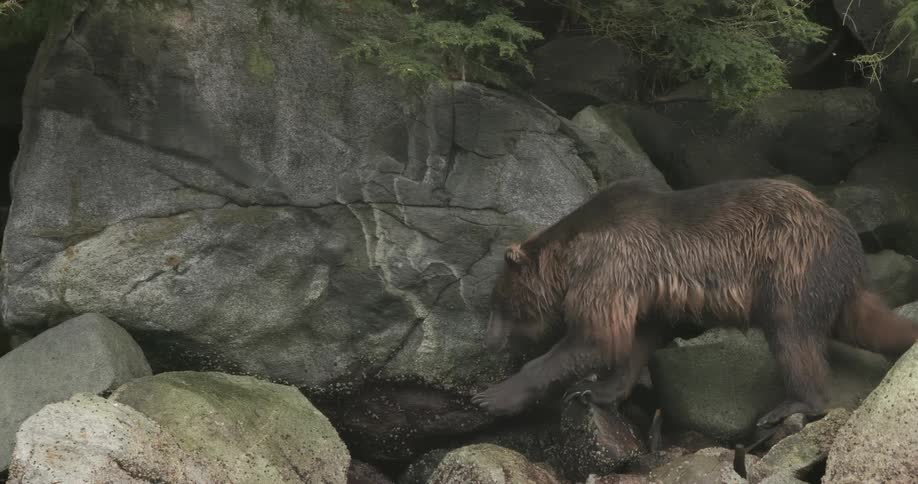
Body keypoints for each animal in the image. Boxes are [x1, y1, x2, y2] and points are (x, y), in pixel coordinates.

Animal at [472, 177, 918, 428]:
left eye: (497, 302)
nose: (488, 341)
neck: (570, 256)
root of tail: (851, 247)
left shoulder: (611, 264)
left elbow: (594, 337)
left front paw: (492, 396)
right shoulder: (648, 291)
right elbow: (636, 340)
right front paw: (596, 390)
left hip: (789, 267)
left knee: (792, 337)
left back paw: (793, 404)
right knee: (862, 324)